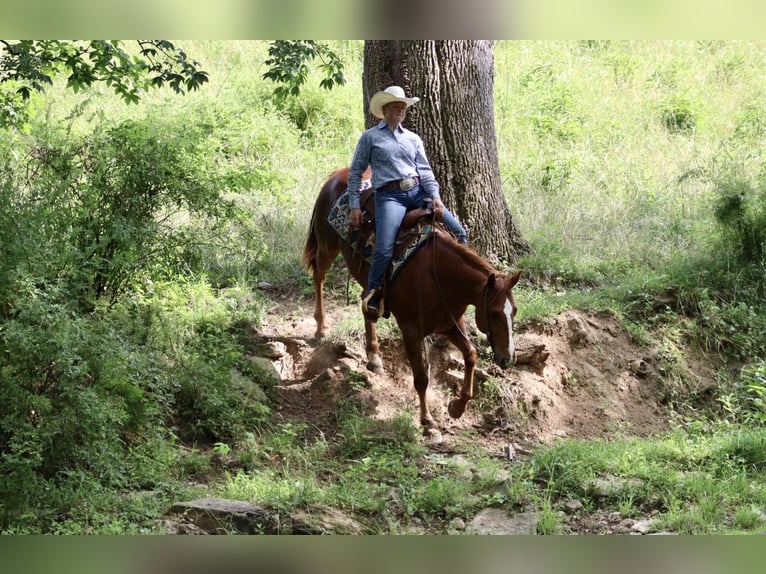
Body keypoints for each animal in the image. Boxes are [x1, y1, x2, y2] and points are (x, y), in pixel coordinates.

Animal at [302, 166, 520, 432]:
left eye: (514, 311)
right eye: (495, 312)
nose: (507, 359)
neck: (438, 276)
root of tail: (338, 174)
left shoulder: (450, 324)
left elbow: (470, 355)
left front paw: (457, 407)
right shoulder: (411, 331)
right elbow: (421, 377)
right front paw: (428, 421)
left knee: (366, 302)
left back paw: (374, 356)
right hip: (327, 245)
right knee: (319, 275)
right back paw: (321, 327)